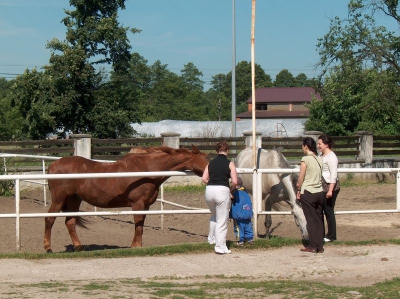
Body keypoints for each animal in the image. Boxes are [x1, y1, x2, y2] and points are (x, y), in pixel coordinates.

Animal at [44, 145, 209, 253]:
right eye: (206, 159)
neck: (147, 170)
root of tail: (52, 165)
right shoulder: (138, 204)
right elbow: (138, 226)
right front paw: (136, 246)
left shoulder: (146, 205)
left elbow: (140, 225)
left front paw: (136, 245)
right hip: (59, 200)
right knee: (49, 219)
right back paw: (48, 248)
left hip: (74, 200)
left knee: (70, 222)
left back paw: (79, 247)